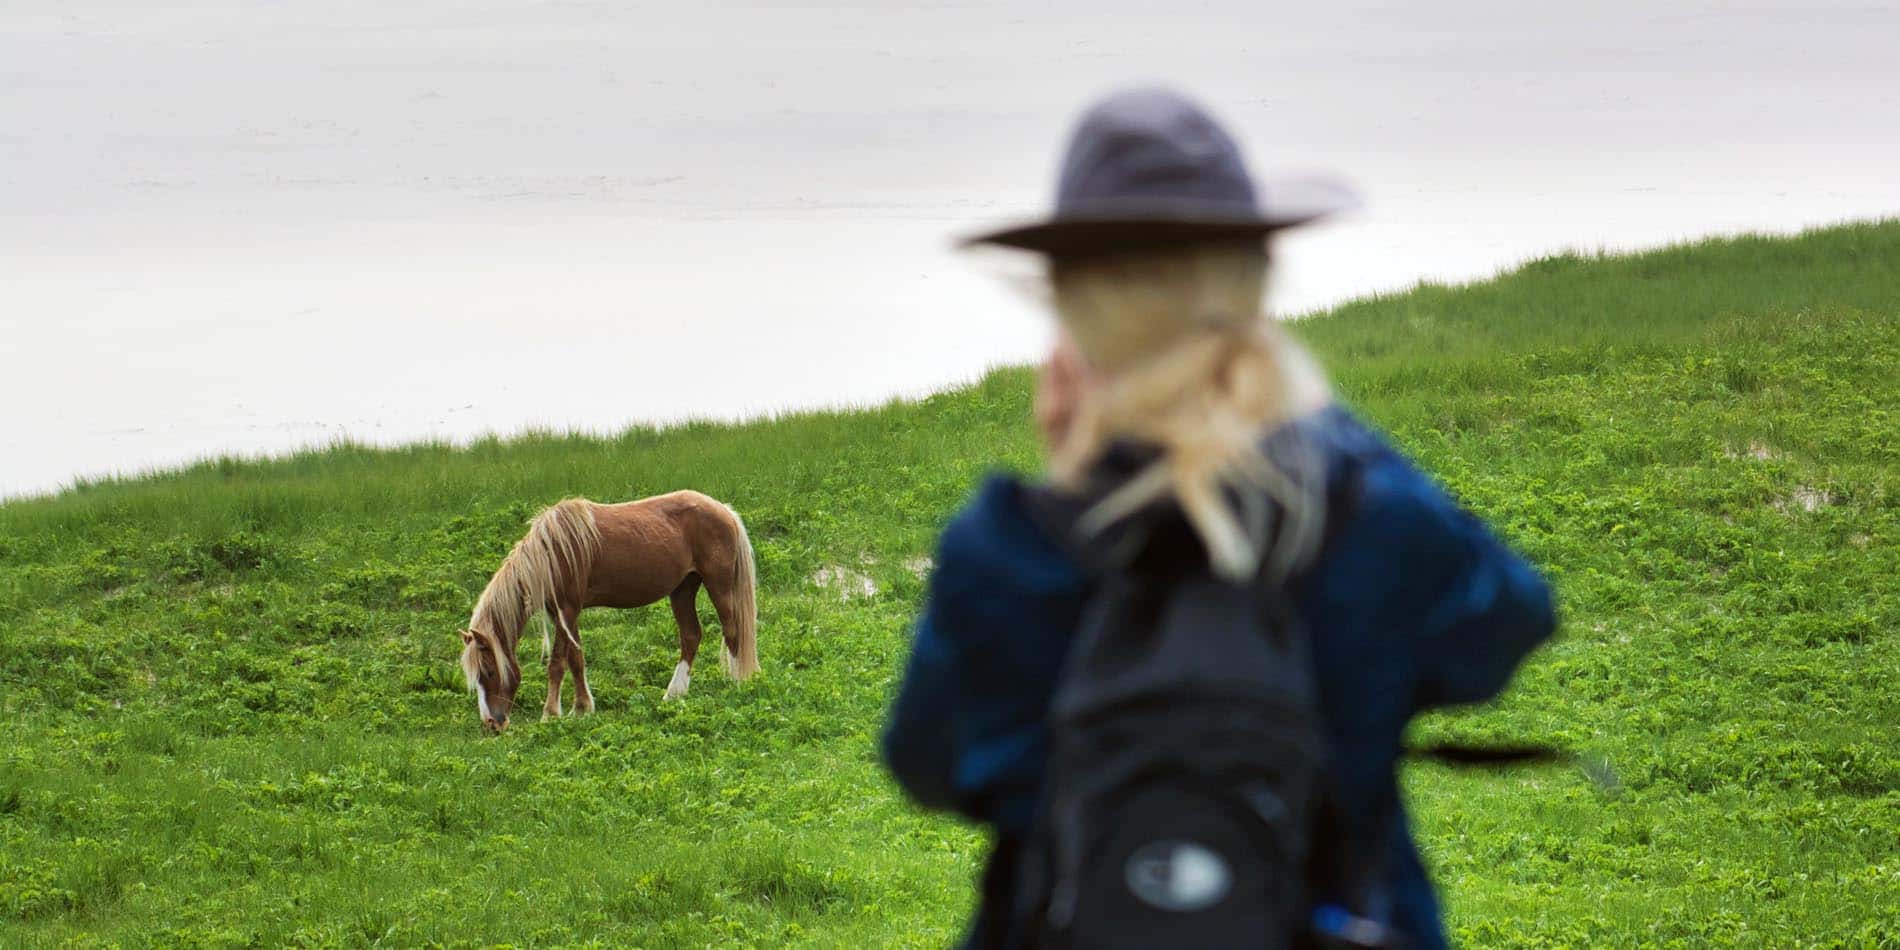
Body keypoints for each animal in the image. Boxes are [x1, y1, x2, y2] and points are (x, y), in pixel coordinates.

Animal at [457, 494, 756, 729]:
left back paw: (736, 684)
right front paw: (582, 708)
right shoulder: (565, 614)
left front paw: (550, 714)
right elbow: (576, 659)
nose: (492, 724)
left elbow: (557, 663)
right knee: (691, 636)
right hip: (683, 589)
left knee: (732, 631)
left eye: (489, 672)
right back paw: (674, 694)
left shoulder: (567, 610)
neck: (552, 554)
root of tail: (724, 511)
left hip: (718, 585)